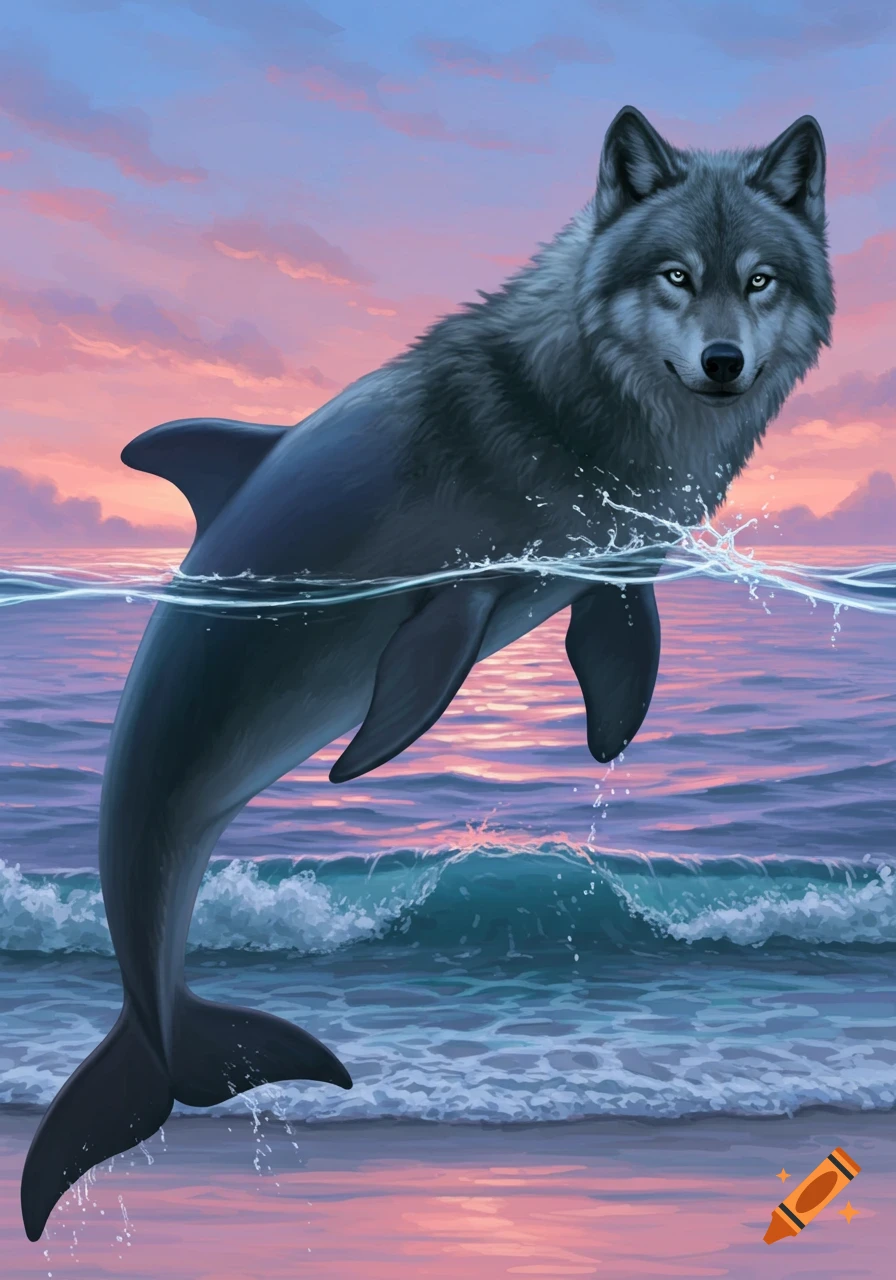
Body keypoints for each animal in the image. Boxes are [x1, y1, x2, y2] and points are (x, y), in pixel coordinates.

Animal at [21, 105, 834, 1240]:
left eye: (762, 279)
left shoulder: (611, 566)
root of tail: (163, 1045)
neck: (573, 398)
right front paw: (362, 762)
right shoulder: (457, 586)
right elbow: (418, 685)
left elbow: (621, 655)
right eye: (673, 275)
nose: (724, 361)